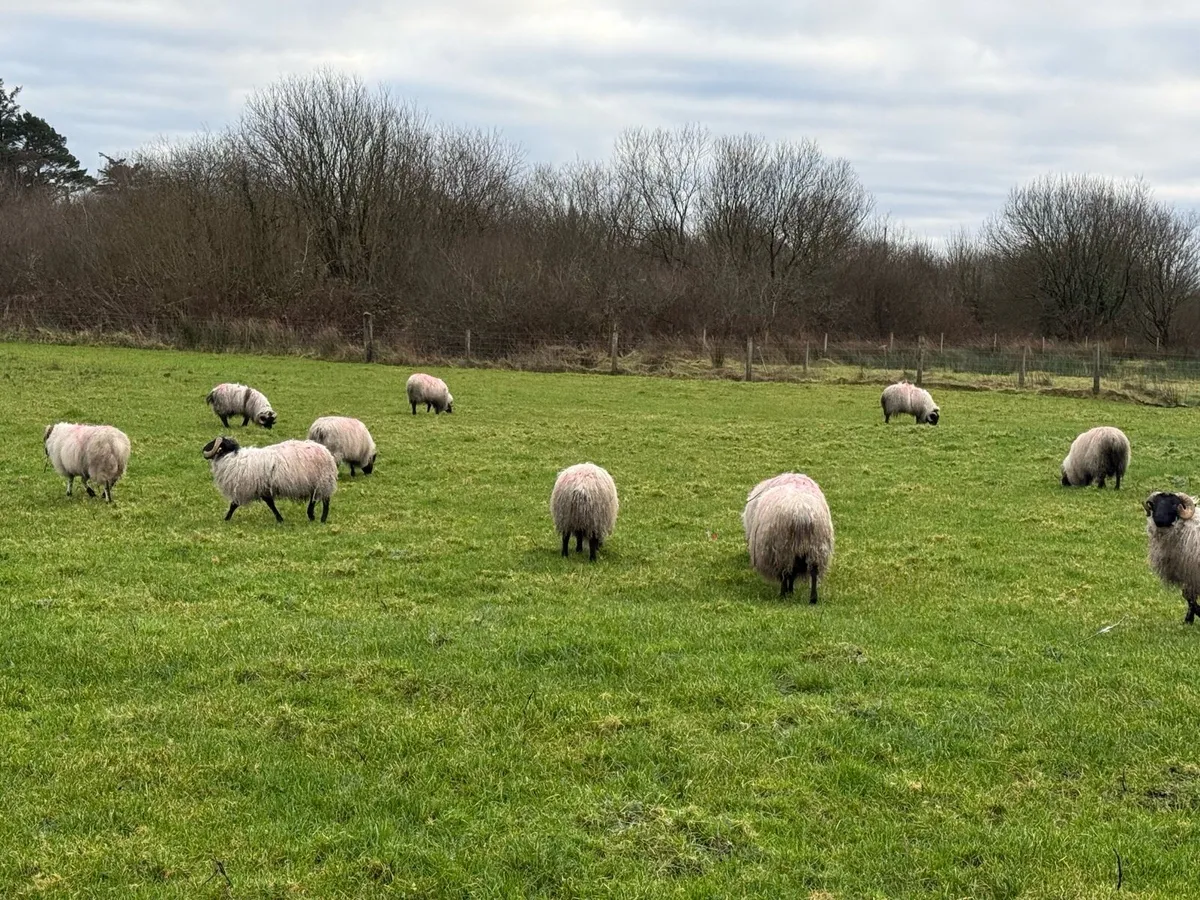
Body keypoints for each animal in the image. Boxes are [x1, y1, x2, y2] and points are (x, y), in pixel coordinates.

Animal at [202, 435, 337, 523]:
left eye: (213, 443)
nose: (203, 449)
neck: (231, 457)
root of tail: (326, 451)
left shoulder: (247, 488)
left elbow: (234, 505)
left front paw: (226, 519)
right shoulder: (261, 488)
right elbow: (269, 503)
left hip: (323, 481)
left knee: (325, 500)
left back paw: (322, 519)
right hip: (315, 483)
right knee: (314, 498)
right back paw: (311, 515)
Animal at [742, 472, 834, 602]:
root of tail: (802, 514)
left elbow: (788, 574)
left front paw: (788, 591)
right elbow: (793, 574)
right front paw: (791, 590)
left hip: (784, 548)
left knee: (785, 572)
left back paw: (782, 594)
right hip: (815, 548)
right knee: (813, 572)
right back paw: (813, 598)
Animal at [1145, 491, 1200, 623]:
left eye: (1175, 505)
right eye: (1154, 505)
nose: (1159, 520)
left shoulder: (1193, 573)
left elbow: (1189, 597)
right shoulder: (1189, 575)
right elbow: (1188, 596)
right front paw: (1189, 620)